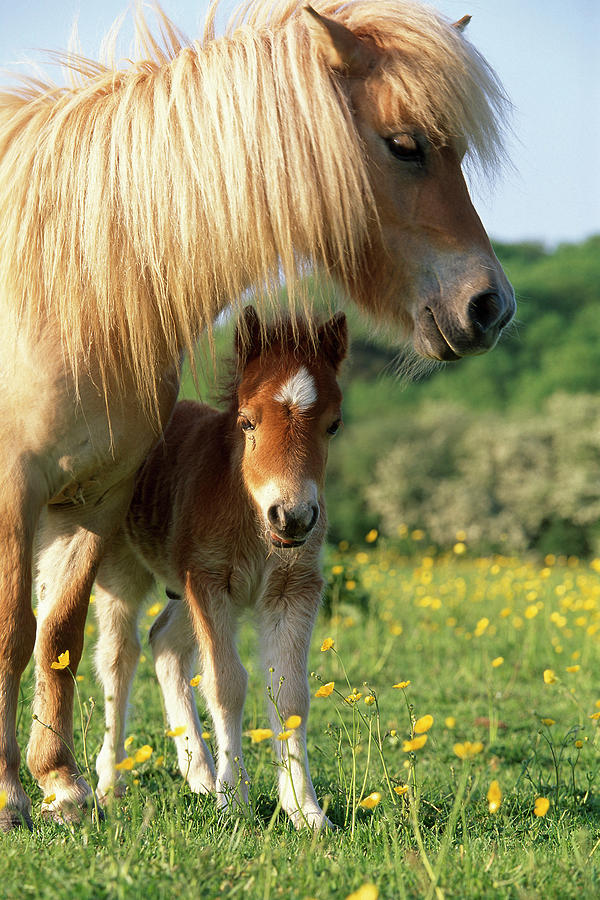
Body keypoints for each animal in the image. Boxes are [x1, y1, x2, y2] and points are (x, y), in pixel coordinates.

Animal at [91, 308, 344, 828]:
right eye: (247, 422)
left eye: (334, 425)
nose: (292, 517)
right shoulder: (209, 584)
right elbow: (225, 683)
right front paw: (234, 800)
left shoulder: (294, 589)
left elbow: (291, 695)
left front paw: (305, 811)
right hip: (123, 571)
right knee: (118, 656)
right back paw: (110, 785)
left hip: (181, 588)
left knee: (165, 644)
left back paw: (199, 777)